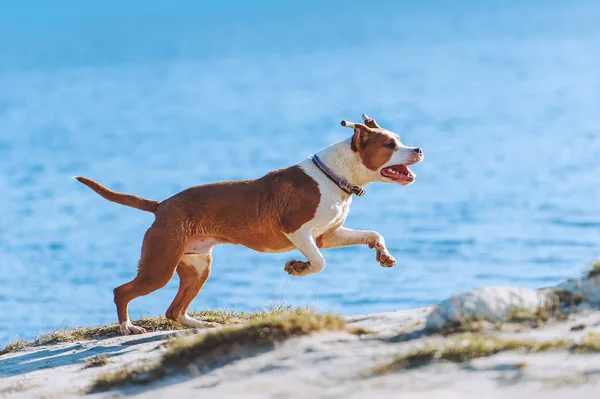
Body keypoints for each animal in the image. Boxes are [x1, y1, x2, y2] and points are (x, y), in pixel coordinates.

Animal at [75, 114, 424, 336]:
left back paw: (202, 326)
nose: (419, 149)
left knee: (174, 311)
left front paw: (383, 255)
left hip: (197, 266)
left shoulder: (328, 234)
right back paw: (127, 327)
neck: (335, 175)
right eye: (390, 145)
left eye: (400, 140)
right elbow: (319, 262)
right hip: (159, 266)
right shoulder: (297, 230)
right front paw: (298, 267)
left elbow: (373, 233)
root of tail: (161, 205)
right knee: (122, 292)